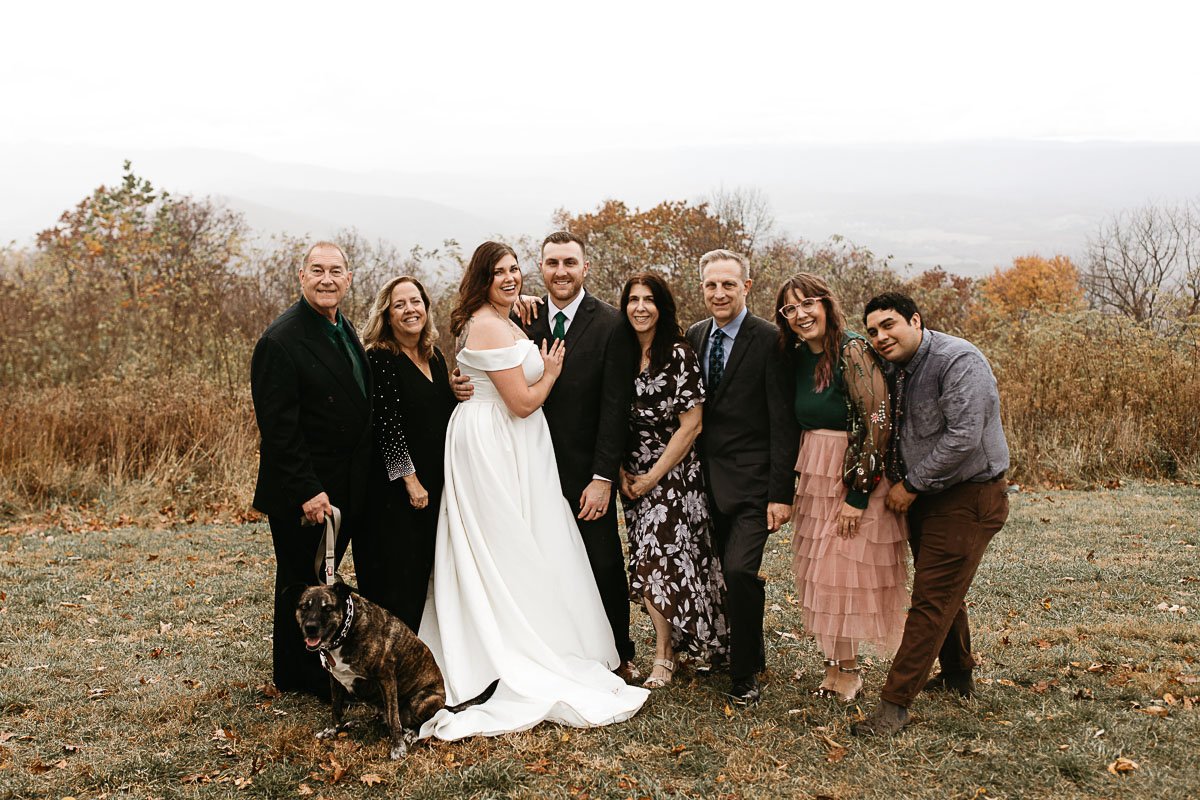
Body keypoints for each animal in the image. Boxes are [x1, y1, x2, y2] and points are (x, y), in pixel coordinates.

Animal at [297, 582, 480, 758]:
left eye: (327, 608)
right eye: (304, 607)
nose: (310, 627)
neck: (346, 632)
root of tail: (445, 703)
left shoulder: (386, 678)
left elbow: (394, 719)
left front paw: (398, 747)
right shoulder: (335, 679)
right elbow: (335, 708)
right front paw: (333, 730)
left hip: (421, 700)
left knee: (426, 721)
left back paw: (413, 733)